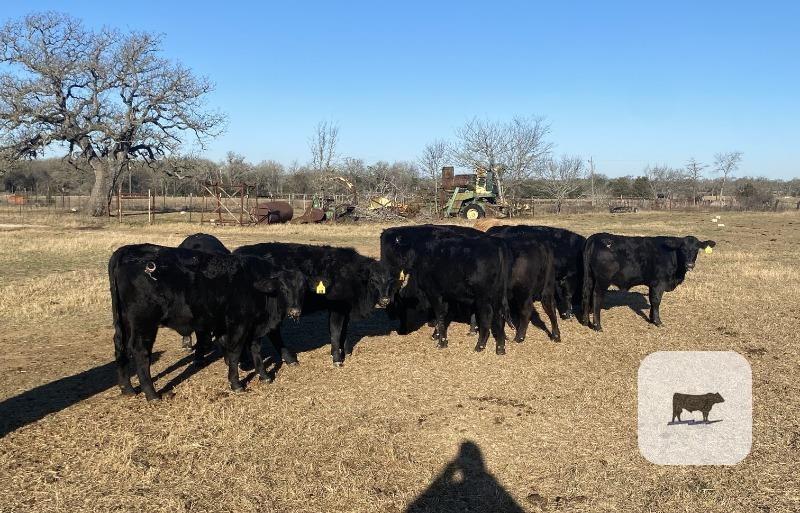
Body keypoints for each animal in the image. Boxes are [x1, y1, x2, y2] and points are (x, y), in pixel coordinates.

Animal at [108, 244, 305, 401]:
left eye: (301, 288)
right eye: (282, 288)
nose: (295, 311)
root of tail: (128, 249)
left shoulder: (254, 326)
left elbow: (255, 349)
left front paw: (264, 376)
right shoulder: (239, 324)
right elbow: (235, 352)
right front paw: (236, 384)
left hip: (124, 322)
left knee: (121, 347)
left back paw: (127, 388)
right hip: (144, 324)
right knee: (140, 352)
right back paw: (152, 394)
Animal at [234, 243, 393, 367]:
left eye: (390, 280)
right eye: (373, 280)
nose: (385, 300)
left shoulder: (345, 308)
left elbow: (344, 330)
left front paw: (345, 350)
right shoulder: (337, 307)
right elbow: (335, 331)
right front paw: (337, 358)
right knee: (273, 332)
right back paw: (289, 359)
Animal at [581, 234, 716, 331]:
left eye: (696, 249)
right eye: (682, 249)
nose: (689, 265)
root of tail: (595, 237)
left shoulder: (652, 284)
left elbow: (652, 300)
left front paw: (651, 319)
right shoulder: (659, 283)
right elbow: (656, 301)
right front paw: (658, 322)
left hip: (590, 278)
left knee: (586, 295)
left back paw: (585, 321)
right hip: (602, 280)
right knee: (596, 296)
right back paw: (597, 326)